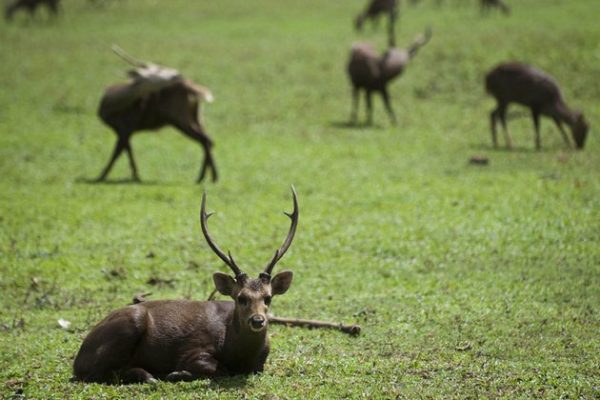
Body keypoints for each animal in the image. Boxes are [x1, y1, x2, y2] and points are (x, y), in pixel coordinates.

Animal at [72, 189, 300, 382]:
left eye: (268, 297)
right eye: (240, 297)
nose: (258, 320)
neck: (239, 354)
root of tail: (78, 358)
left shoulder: (259, 365)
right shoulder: (193, 350)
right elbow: (217, 368)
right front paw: (177, 372)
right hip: (130, 324)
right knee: (100, 372)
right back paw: (150, 375)